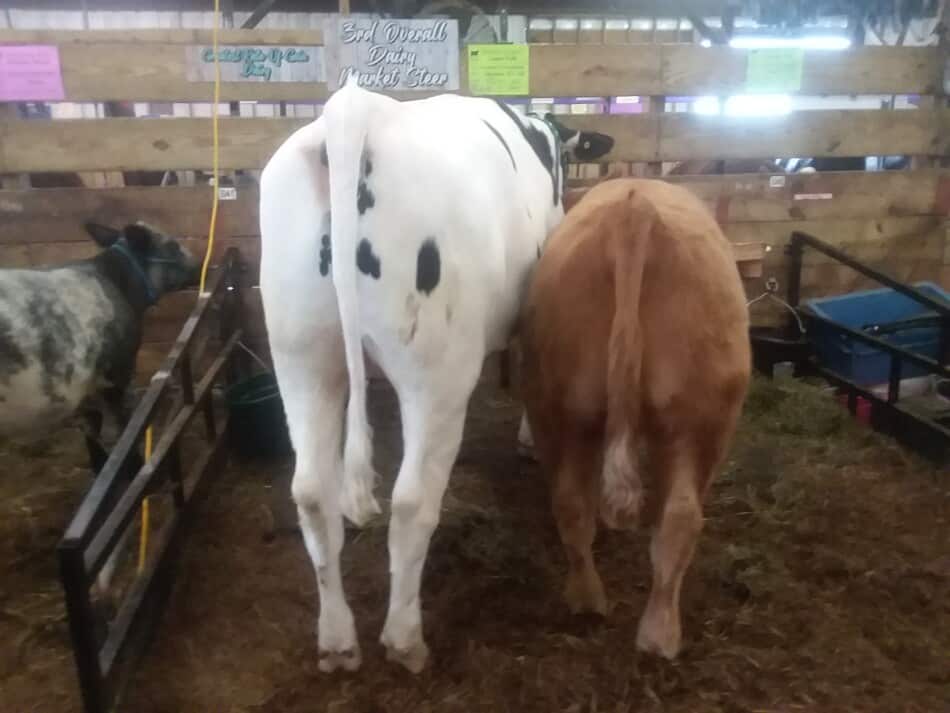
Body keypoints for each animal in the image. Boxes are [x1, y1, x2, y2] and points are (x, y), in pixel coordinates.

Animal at [260, 78, 616, 672]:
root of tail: (358, 108)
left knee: (312, 493)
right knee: (411, 501)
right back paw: (404, 640)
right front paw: (526, 438)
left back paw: (337, 642)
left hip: (301, 354)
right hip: (435, 376)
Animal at [520, 181, 752, 660]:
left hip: (564, 408)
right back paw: (658, 632)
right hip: (704, 423)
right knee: (680, 515)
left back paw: (598, 606)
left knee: (578, 502)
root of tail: (635, 208)